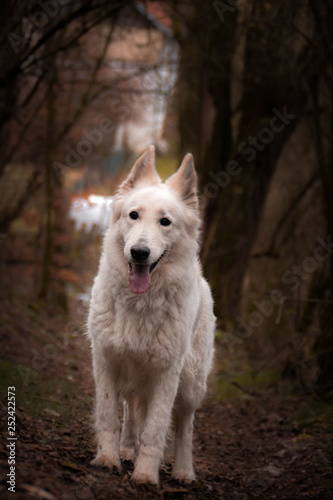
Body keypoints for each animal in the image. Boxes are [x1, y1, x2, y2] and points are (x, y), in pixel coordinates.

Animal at [87, 146, 214, 484]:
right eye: (134, 215)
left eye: (165, 222)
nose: (139, 253)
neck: (139, 302)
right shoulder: (106, 359)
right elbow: (109, 416)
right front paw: (108, 458)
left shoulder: (167, 374)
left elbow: (156, 430)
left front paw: (145, 475)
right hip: (134, 378)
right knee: (132, 411)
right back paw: (127, 450)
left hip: (191, 384)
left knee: (185, 426)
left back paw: (183, 471)